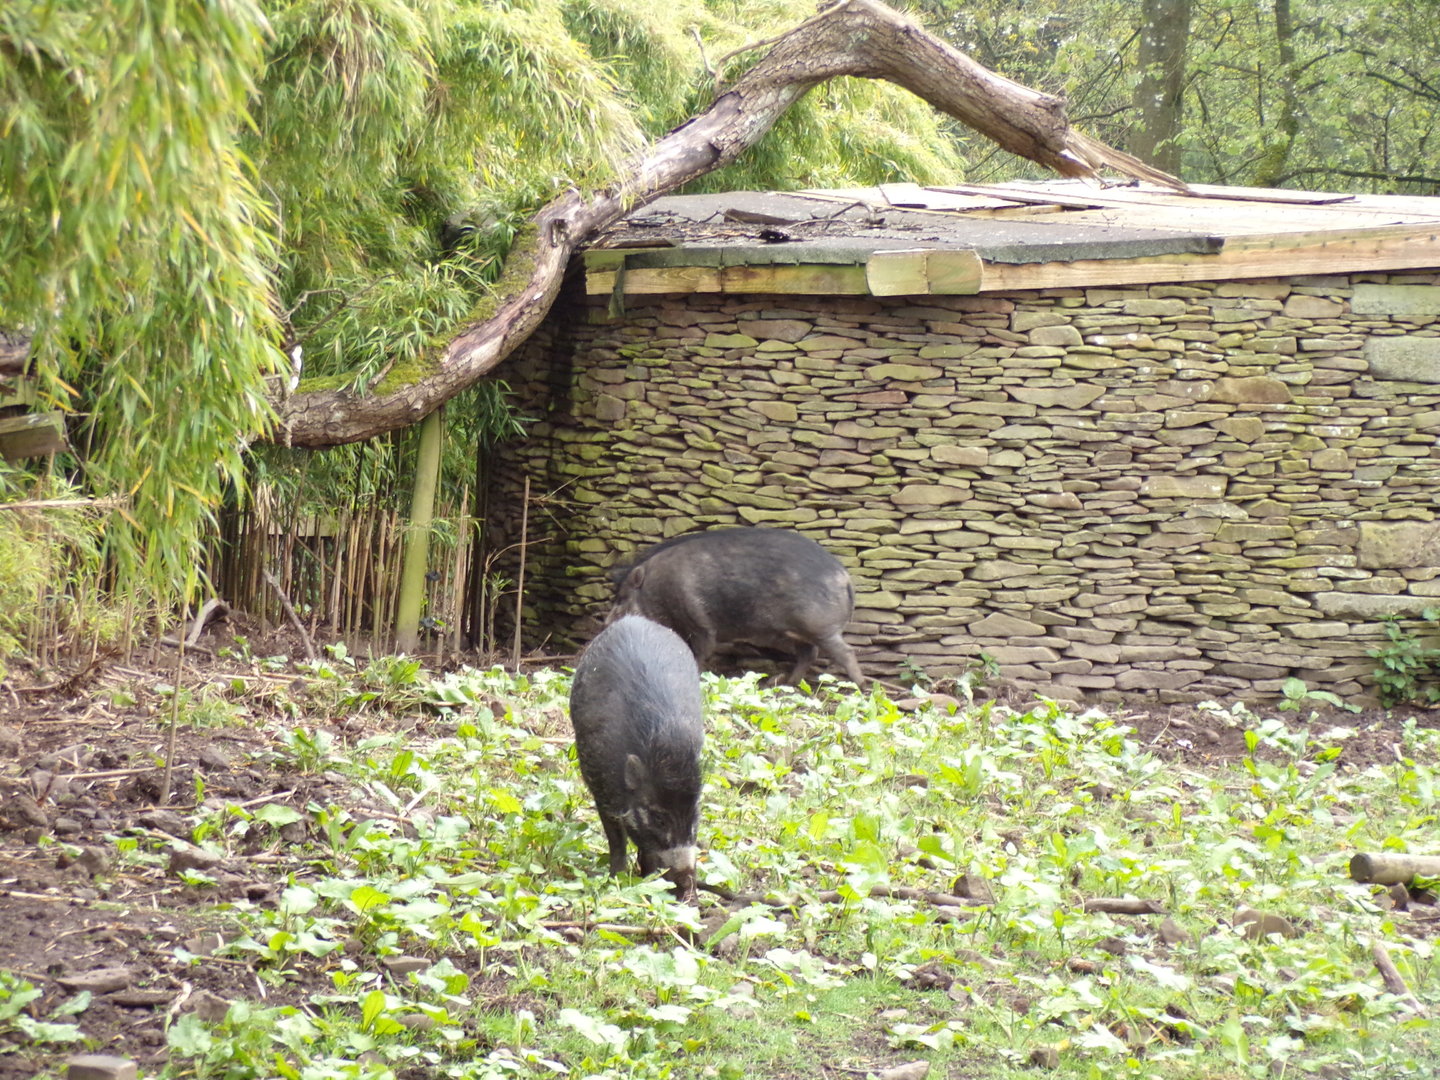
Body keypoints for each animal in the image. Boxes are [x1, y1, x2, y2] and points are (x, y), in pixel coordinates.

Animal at [568, 614, 704, 900]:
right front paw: (617, 878)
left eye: (695, 815)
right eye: (659, 818)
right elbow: (616, 839)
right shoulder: (601, 788)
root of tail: (633, 618)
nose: (688, 887)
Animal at [608, 526, 864, 686]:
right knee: (808, 654)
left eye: (622, 598)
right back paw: (783, 683)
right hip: (797, 633)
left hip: (821, 628)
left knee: (846, 652)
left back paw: (861, 685)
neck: (658, 588)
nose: (607, 622)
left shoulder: (700, 624)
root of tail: (846, 578)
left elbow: (700, 651)